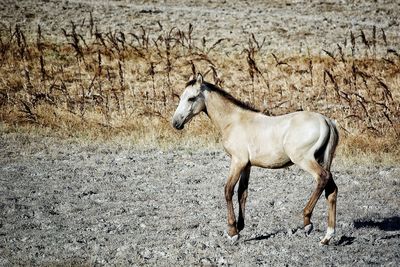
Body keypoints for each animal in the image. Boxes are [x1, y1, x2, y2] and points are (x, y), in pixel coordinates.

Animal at [173, 73, 340, 245]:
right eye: (181, 97)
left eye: (191, 98)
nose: (176, 123)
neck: (233, 121)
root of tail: (327, 121)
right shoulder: (247, 165)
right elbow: (242, 193)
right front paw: (240, 227)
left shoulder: (237, 161)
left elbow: (228, 190)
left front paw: (232, 232)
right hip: (323, 159)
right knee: (331, 190)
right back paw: (327, 236)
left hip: (304, 159)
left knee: (322, 178)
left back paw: (307, 222)